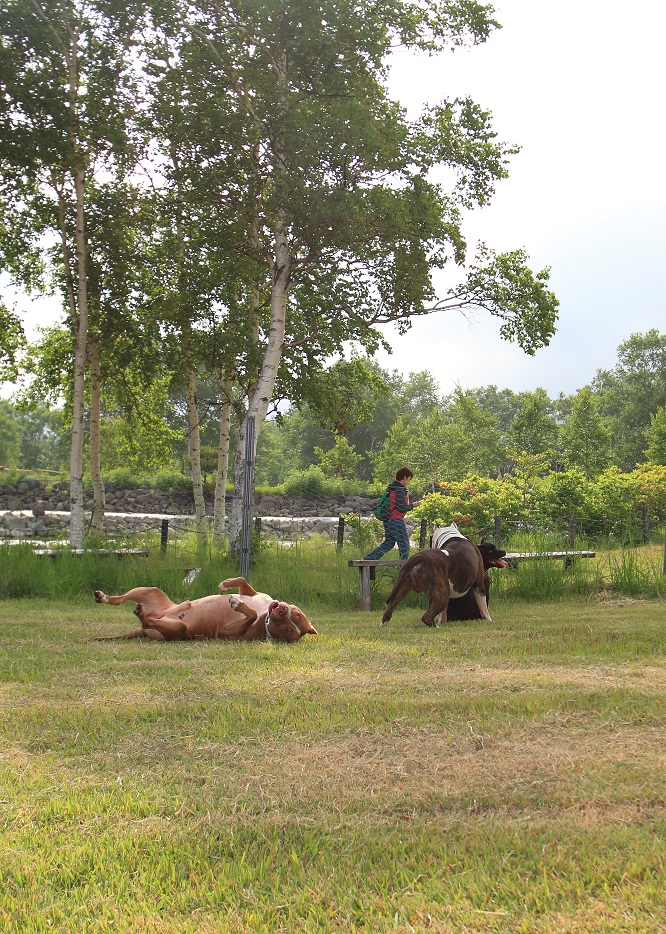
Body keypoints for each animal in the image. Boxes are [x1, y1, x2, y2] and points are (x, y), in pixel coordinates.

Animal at [92, 576, 317, 643]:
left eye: (288, 630)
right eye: (297, 614)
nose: (282, 610)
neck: (266, 618)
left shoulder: (227, 632)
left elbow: (249, 613)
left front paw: (238, 605)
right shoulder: (255, 594)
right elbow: (243, 581)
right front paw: (226, 584)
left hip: (178, 630)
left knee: (148, 620)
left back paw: (141, 614)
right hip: (150, 591)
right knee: (119, 600)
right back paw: (103, 597)